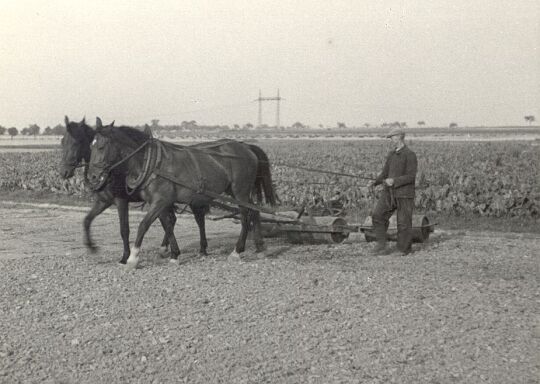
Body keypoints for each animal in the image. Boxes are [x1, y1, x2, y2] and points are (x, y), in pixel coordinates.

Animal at [59, 115, 179, 264]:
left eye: (76, 142)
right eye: (62, 141)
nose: (64, 172)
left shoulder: (121, 201)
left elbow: (124, 229)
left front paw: (125, 256)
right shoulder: (103, 202)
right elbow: (86, 220)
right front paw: (91, 246)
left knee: (168, 221)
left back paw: (167, 249)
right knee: (170, 220)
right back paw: (165, 248)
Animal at [86, 118, 276, 270]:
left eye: (101, 146)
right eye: (90, 146)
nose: (92, 176)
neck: (150, 162)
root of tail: (246, 147)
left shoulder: (160, 201)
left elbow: (143, 225)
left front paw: (132, 258)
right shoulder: (159, 203)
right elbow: (167, 225)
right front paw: (174, 254)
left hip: (239, 190)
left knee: (245, 216)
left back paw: (237, 251)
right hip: (238, 191)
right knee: (254, 211)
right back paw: (260, 248)